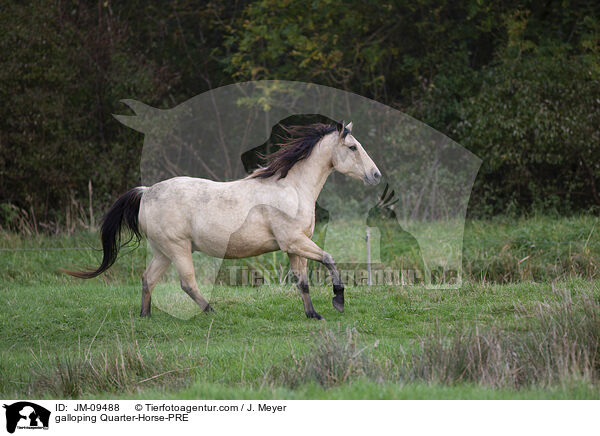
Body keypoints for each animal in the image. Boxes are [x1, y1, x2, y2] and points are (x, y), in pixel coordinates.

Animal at [65, 121, 382, 318]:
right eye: (353, 147)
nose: (376, 175)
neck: (292, 188)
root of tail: (146, 192)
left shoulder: (294, 247)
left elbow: (302, 282)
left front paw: (313, 314)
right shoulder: (294, 241)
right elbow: (329, 259)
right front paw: (338, 301)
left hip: (163, 251)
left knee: (148, 280)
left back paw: (145, 317)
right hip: (178, 248)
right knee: (187, 283)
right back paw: (211, 312)